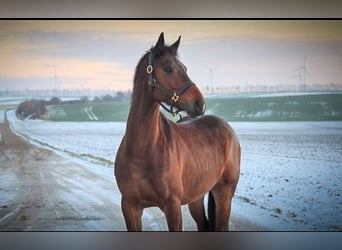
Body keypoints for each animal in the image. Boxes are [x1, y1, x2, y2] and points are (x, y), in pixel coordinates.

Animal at [115, 32, 240, 231]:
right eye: (168, 69)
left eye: (185, 68)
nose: (199, 103)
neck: (141, 151)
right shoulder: (129, 206)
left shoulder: (172, 208)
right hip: (196, 197)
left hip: (224, 195)